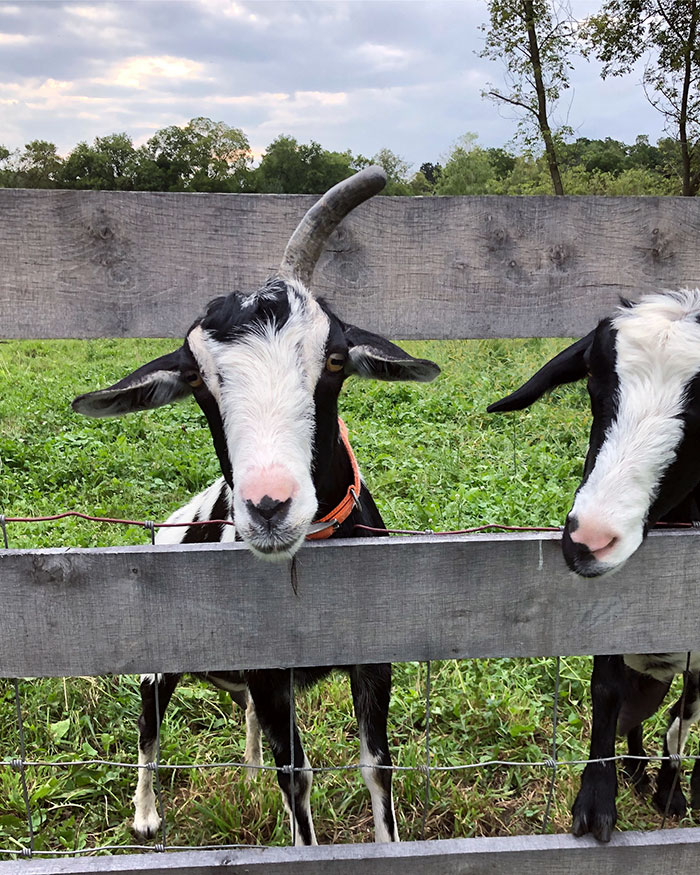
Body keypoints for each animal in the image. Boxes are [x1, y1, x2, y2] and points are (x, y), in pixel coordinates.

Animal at [72, 167, 440, 846]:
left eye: (334, 358)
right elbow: (295, 774)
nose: (270, 507)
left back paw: (242, 777)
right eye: (196, 378)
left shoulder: (372, 655)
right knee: (148, 720)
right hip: (161, 656)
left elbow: (377, 765)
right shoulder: (273, 670)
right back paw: (145, 816)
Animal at [488, 289, 700, 841]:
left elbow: (685, 715)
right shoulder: (610, 622)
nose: (588, 542)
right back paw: (635, 769)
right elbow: (605, 695)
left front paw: (671, 794)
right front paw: (597, 800)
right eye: (591, 383)